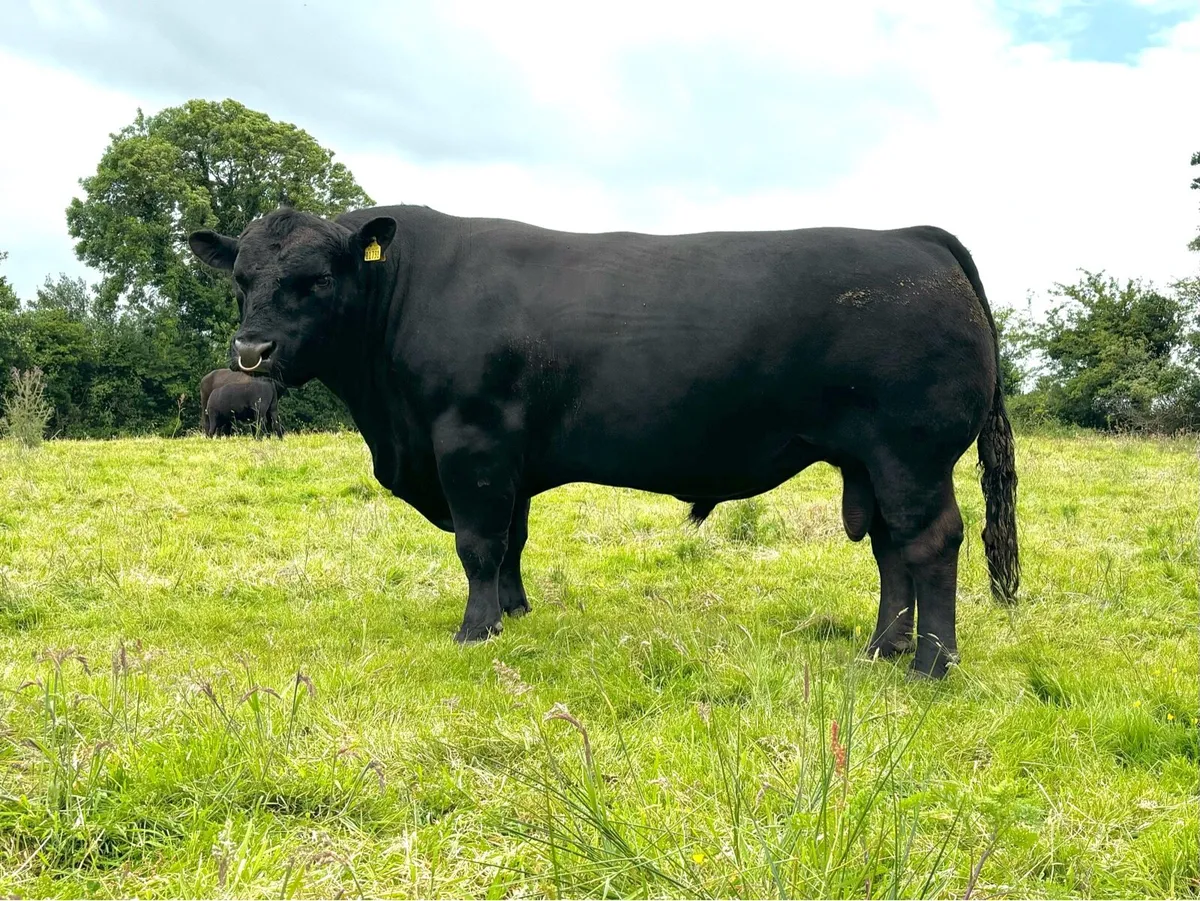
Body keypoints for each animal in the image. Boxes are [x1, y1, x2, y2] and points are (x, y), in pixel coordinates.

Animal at [188, 204, 1019, 679]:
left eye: (319, 278)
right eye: (242, 278)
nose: (252, 351)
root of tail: (913, 237)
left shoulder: (470, 441)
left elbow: (479, 543)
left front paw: (475, 630)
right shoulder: (508, 457)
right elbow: (513, 541)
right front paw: (516, 613)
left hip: (911, 451)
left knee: (931, 541)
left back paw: (929, 664)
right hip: (871, 461)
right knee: (890, 547)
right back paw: (882, 649)